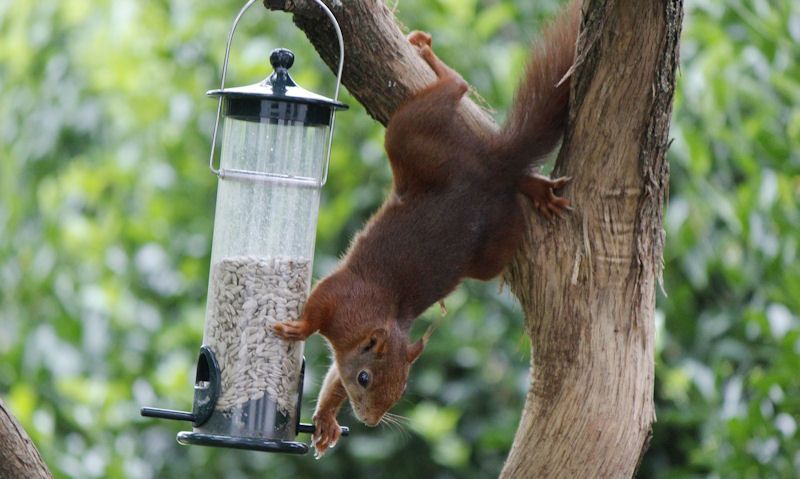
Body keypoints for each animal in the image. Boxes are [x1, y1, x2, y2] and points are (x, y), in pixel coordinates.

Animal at [272, 0, 580, 458]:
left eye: (401, 390)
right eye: (365, 378)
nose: (370, 420)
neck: (372, 318)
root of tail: (491, 169)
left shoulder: (346, 316)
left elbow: (329, 364)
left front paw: (322, 404)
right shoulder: (340, 296)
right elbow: (323, 332)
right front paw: (305, 345)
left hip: (442, 182)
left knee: (459, 96)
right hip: (432, 161)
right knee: (459, 98)